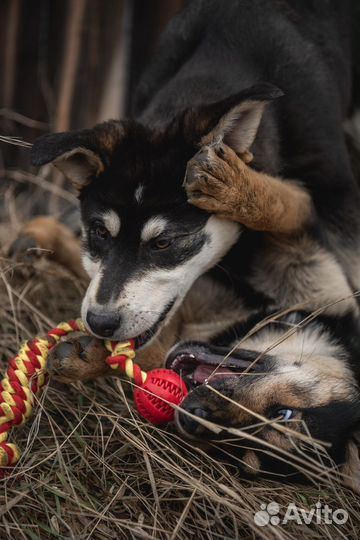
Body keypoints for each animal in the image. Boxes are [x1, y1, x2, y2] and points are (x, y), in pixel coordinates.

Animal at [14, 0, 360, 480]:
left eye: (165, 243)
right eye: (99, 233)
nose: (100, 323)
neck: (229, 51)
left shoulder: (327, 201)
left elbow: (288, 203)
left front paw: (234, 185)